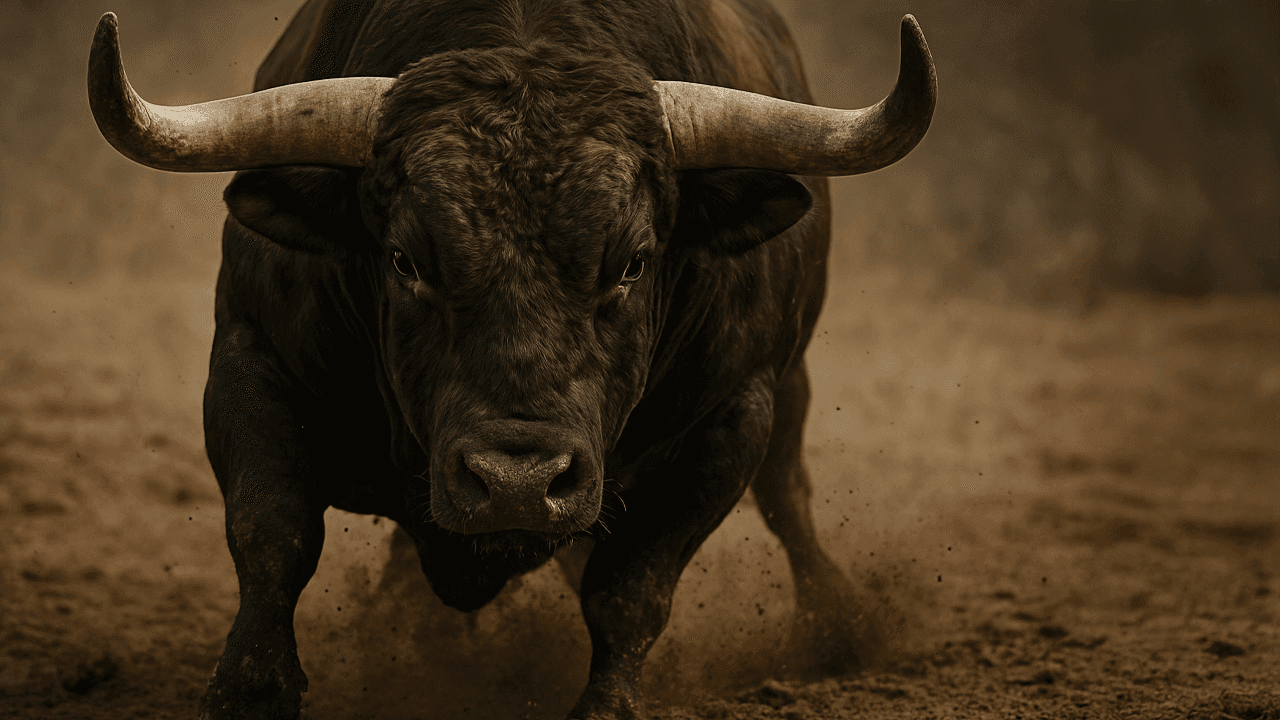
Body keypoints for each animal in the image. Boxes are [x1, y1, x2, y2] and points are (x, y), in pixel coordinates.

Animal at [87, 1, 935, 718]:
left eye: (633, 262)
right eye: (405, 260)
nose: (517, 485)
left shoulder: (729, 417)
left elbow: (633, 588)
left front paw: (609, 706)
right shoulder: (251, 360)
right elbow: (273, 534)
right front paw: (250, 690)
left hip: (788, 395)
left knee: (789, 498)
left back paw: (838, 625)